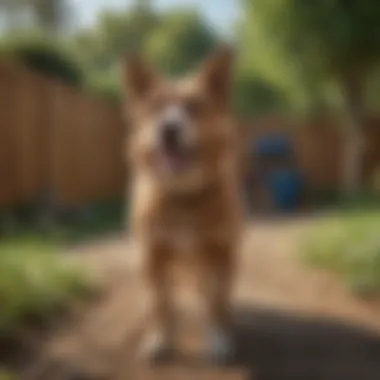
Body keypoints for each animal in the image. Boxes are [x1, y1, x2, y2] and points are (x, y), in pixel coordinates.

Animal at [121, 46, 243, 364]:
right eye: (154, 107)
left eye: (195, 105)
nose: (169, 129)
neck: (183, 196)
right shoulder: (153, 254)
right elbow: (161, 303)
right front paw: (160, 339)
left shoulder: (219, 252)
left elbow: (215, 302)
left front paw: (218, 338)